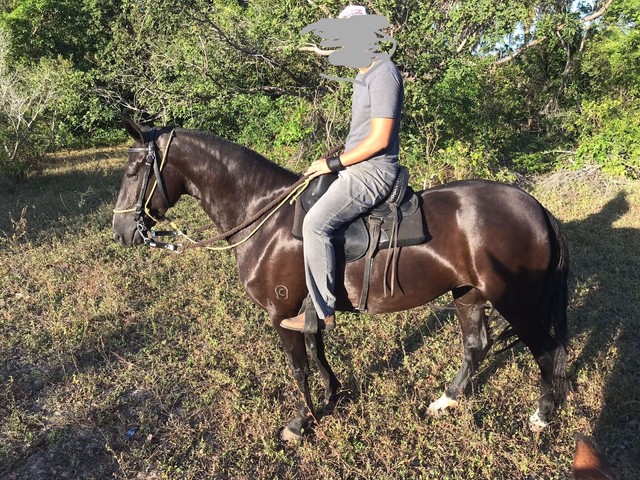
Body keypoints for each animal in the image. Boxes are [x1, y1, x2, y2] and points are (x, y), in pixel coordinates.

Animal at [111, 118, 568, 440]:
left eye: (134, 170)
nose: (121, 232)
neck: (265, 216)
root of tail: (535, 207)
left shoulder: (282, 313)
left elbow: (299, 368)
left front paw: (301, 421)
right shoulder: (310, 308)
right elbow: (319, 353)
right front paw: (330, 398)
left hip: (517, 303)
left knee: (546, 353)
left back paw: (541, 417)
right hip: (468, 294)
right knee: (476, 345)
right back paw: (446, 401)